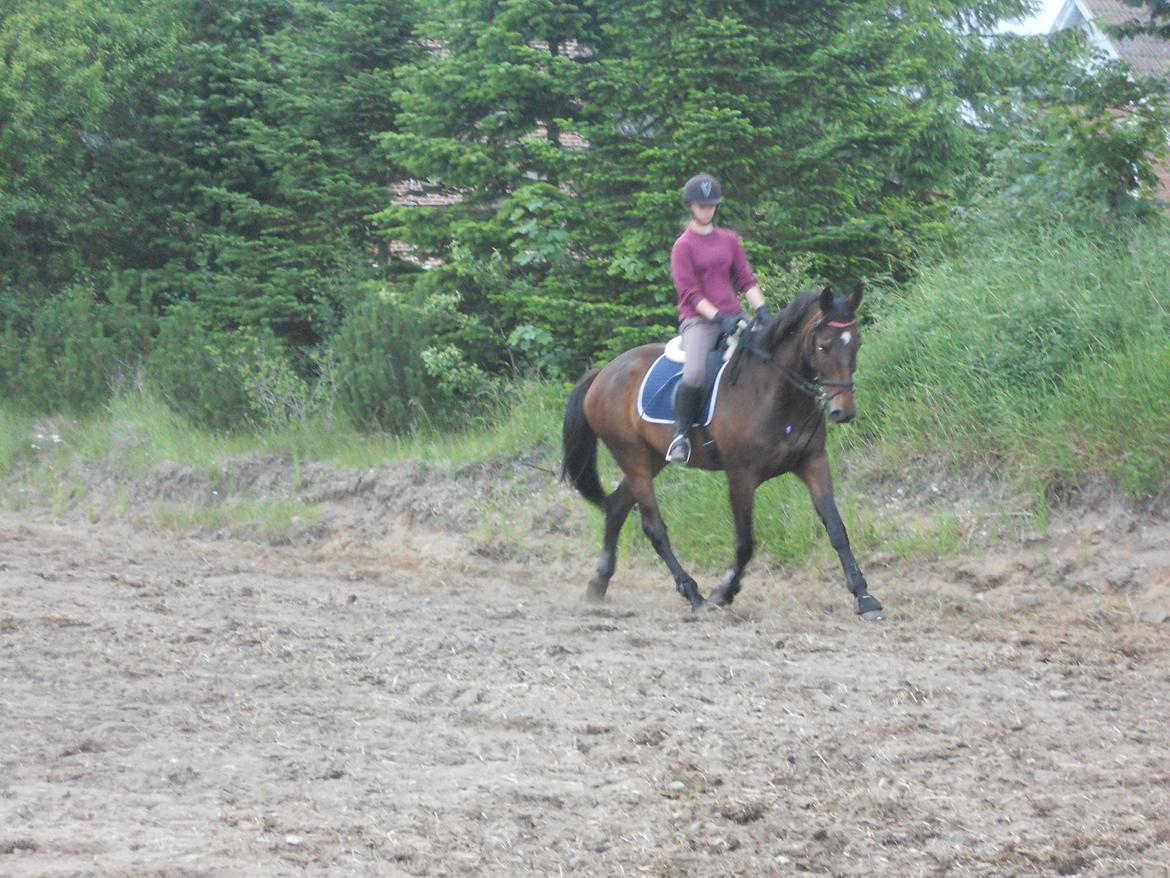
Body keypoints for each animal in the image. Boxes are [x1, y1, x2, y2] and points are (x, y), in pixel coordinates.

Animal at [561, 285, 879, 622]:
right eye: (823, 346)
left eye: (856, 343)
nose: (843, 411)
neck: (775, 393)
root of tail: (604, 372)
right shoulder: (741, 476)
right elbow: (745, 542)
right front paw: (723, 592)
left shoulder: (813, 462)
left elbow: (836, 528)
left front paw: (864, 596)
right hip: (632, 457)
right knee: (654, 528)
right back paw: (692, 593)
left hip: (651, 458)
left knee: (617, 507)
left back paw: (598, 584)